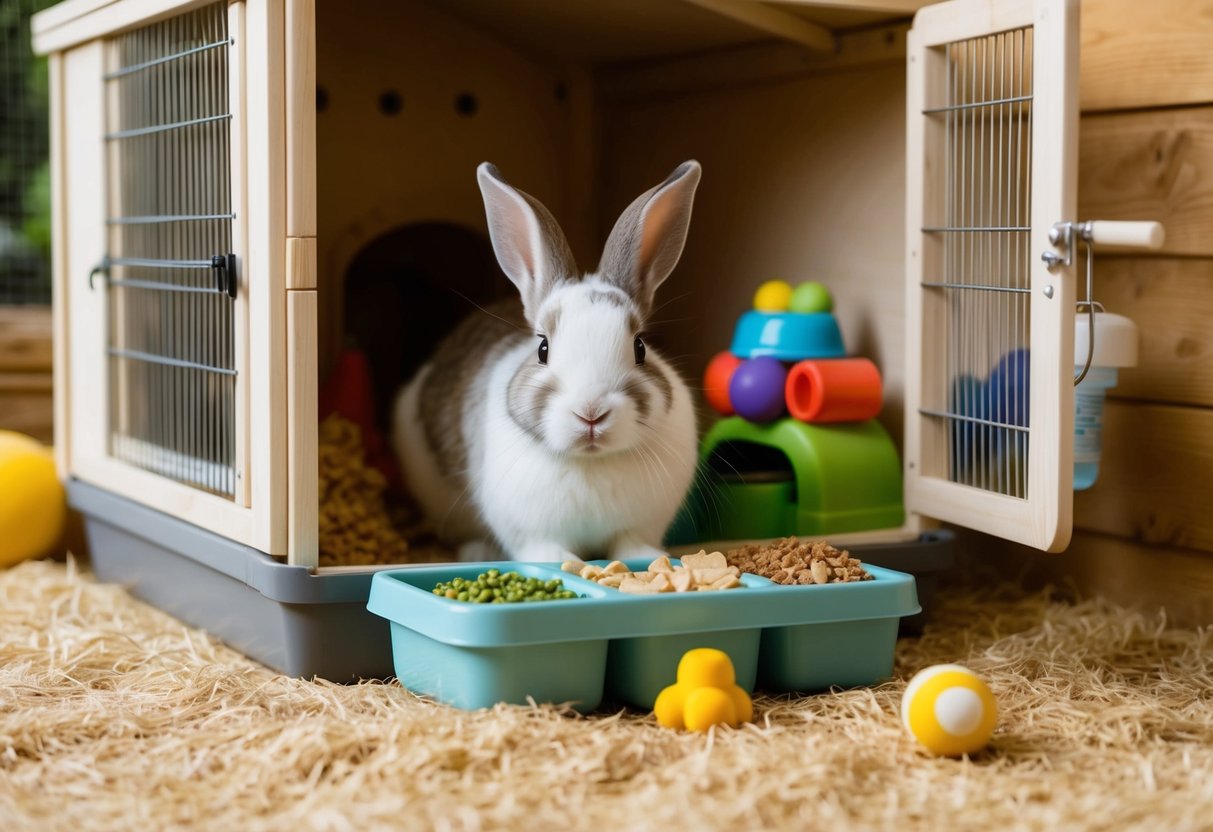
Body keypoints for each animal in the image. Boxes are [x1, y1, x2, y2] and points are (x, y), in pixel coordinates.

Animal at [392, 160, 702, 563]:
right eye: (543, 348)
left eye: (640, 348)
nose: (591, 413)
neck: (591, 461)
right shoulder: (532, 533)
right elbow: (548, 551)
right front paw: (562, 563)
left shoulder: (638, 525)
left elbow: (630, 544)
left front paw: (651, 558)